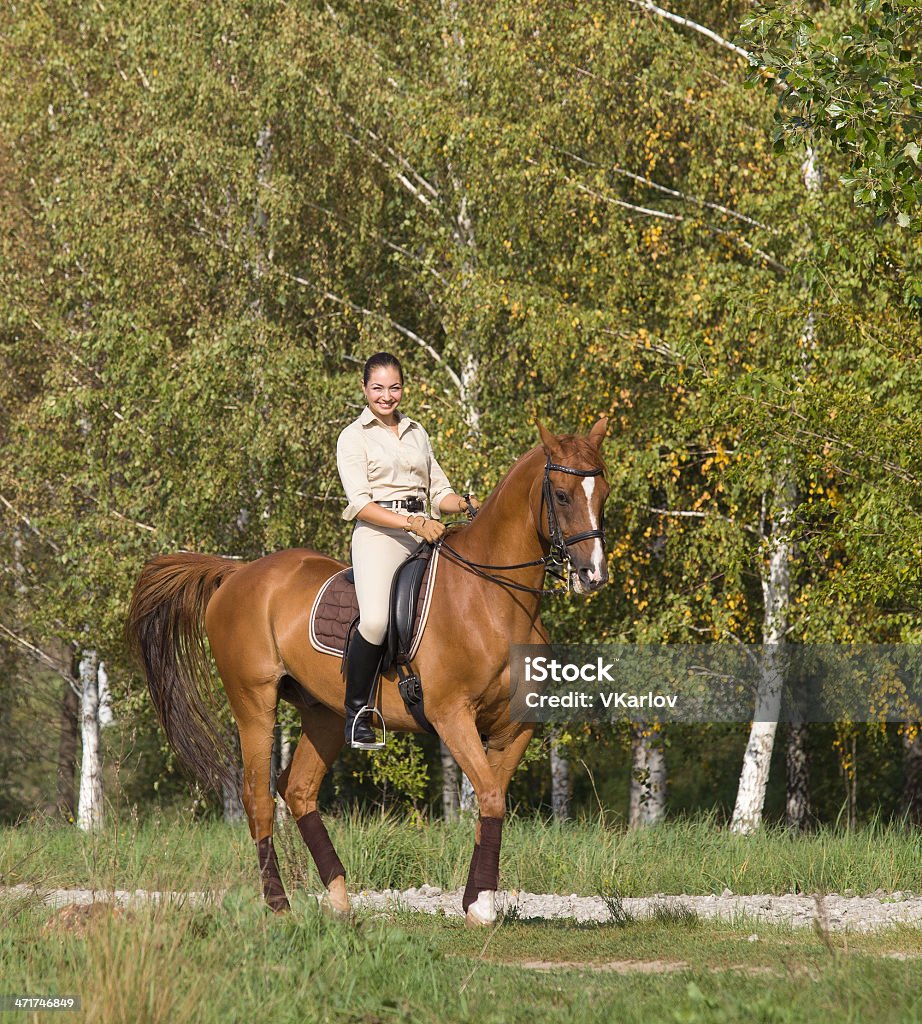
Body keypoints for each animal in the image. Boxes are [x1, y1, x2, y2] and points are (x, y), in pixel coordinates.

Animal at [126, 417, 610, 929]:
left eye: (603, 493)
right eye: (562, 495)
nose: (593, 575)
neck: (491, 598)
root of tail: (237, 575)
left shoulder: (516, 727)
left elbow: (491, 797)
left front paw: (477, 899)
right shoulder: (451, 715)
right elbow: (491, 797)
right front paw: (480, 905)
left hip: (323, 713)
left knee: (298, 790)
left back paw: (339, 897)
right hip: (253, 703)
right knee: (258, 797)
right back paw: (279, 905)